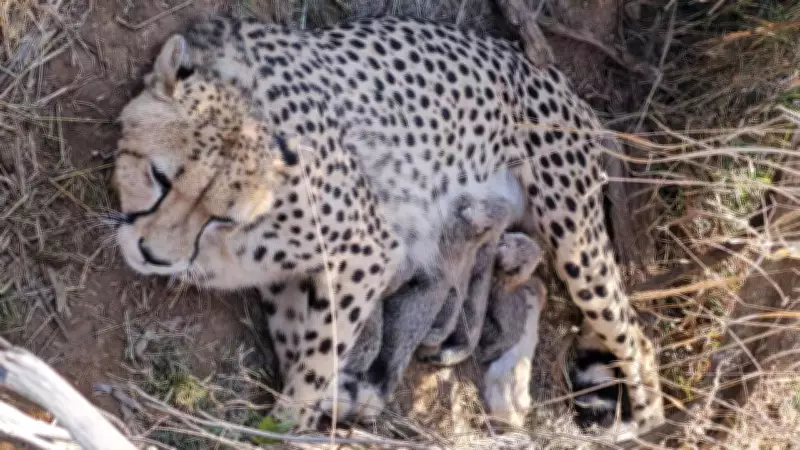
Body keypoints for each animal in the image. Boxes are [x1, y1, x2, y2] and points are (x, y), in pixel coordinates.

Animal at [111, 15, 664, 438]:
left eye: (220, 215)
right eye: (158, 177)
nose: (154, 255)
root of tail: (551, 74)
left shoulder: (368, 251)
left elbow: (317, 357)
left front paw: (286, 425)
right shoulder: (288, 278)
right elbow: (297, 344)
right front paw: (340, 398)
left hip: (576, 238)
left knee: (636, 337)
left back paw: (635, 422)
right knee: (535, 287)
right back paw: (508, 386)